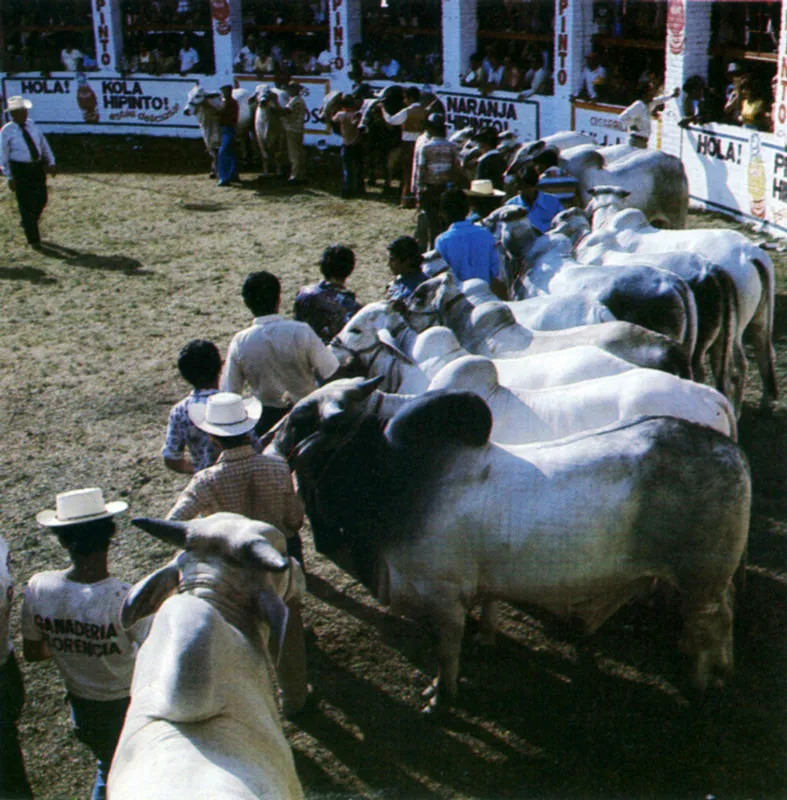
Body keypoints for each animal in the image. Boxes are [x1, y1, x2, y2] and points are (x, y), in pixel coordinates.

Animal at [278, 382, 752, 712]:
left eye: (300, 418)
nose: (272, 438)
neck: (395, 476)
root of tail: (730, 449)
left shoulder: (443, 600)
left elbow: (445, 654)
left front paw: (440, 698)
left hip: (700, 582)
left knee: (711, 622)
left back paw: (699, 682)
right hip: (710, 583)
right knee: (724, 616)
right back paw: (720, 672)